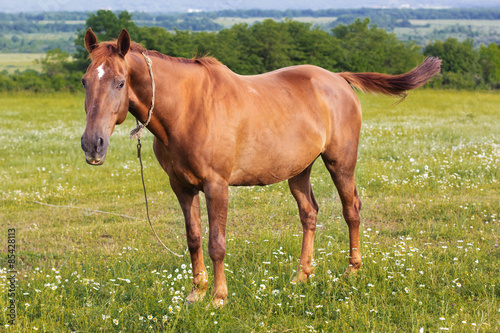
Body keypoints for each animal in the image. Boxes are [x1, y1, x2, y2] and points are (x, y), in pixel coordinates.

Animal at [79, 27, 442, 304]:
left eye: (120, 82)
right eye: (85, 81)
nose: (92, 144)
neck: (187, 110)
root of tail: (339, 79)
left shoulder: (216, 186)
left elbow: (217, 244)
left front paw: (218, 298)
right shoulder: (182, 187)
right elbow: (194, 238)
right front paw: (196, 294)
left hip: (341, 162)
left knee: (351, 208)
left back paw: (352, 270)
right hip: (299, 169)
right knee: (309, 214)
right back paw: (302, 276)